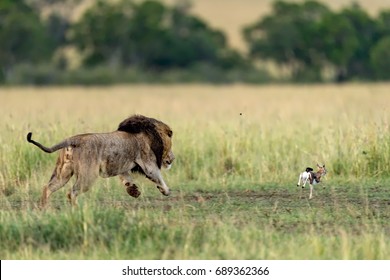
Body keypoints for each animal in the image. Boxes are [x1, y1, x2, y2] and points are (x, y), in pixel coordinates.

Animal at [25, 114, 175, 208]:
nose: (173, 158)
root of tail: (74, 139)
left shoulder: (123, 166)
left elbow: (126, 178)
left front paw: (133, 191)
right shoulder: (148, 163)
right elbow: (157, 176)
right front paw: (166, 191)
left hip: (62, 174)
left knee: (47, 188)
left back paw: (43, 208)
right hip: (88, 176)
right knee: (70, 193)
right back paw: (76, 209)